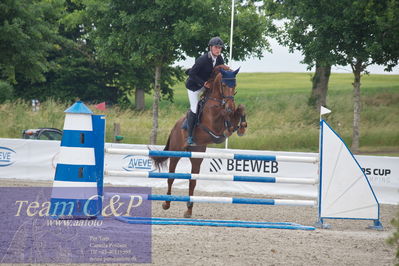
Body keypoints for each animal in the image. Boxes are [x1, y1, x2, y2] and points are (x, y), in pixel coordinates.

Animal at [152, 65, 247, 218]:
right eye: (224, 85)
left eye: (235, 85)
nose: (230, 106)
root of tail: (174, 127)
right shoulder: (213, 124)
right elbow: (223, 115)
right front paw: (229, 126)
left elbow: (241, 109)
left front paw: (242, 127)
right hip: (176, 152)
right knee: (171, 177)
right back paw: (166, 203)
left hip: (197, 156)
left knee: (192, 181)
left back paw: (189, 210)